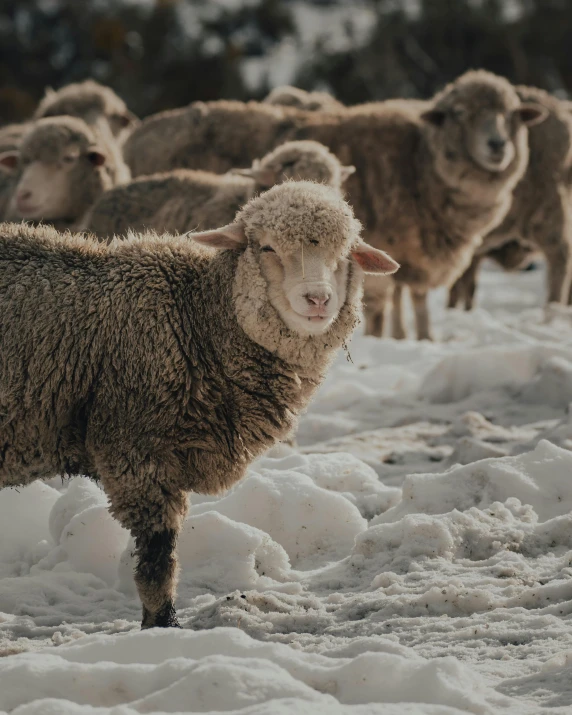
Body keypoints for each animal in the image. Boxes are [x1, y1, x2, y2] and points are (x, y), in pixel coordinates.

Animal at [0, 182, 400, 628]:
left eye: (346, 252)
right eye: (265, 247)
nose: (317, 299)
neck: (197, 320)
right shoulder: (136, 452)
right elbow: (159, 560)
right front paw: (164, 625)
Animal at [122, 71, 544, 340]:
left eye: (511, 115)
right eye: (458, 114)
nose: (498, 145)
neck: (419, 160)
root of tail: (138, 132)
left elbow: (413, 300)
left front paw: (419, 339)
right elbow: (386, 303)